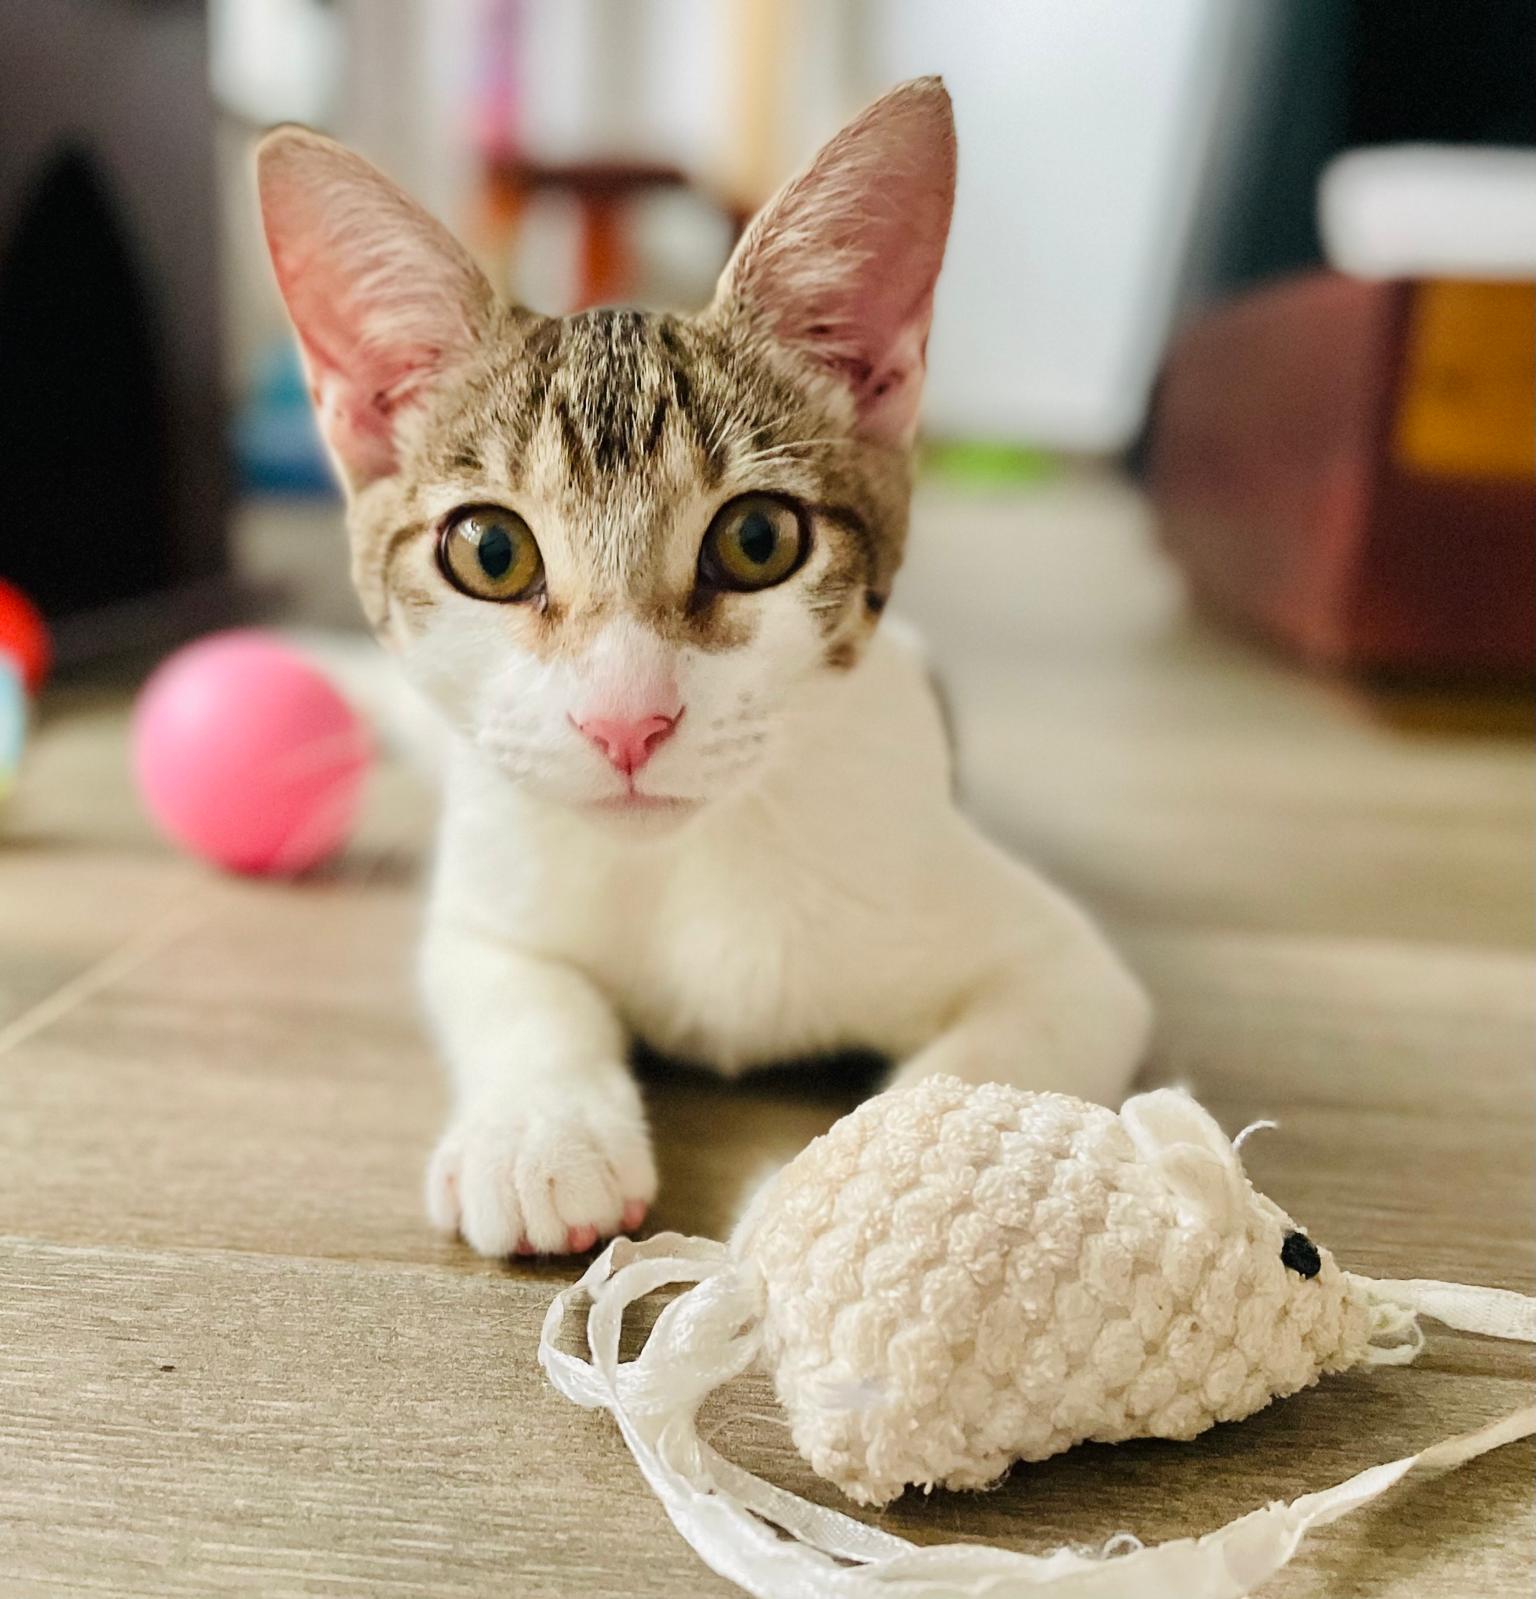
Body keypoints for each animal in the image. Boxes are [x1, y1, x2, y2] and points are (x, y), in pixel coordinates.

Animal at [254, 77, 1138, 1260]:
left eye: (757, 540)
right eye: (490, 551)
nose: (626, 724)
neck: (693, 863)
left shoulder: (1072, 972)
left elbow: (980, 1059)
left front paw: (850, 1192)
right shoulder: (490, 884)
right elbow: (510, 982)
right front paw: (538, 1129)